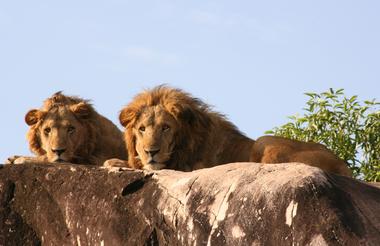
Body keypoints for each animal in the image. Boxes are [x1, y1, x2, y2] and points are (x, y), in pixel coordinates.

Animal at [105, 85, 352, 177]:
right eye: (141, 129)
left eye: (165, 128)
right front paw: (118, 161)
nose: (151, 152)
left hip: (264, 141)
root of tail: (343, 166)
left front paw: (116, 162)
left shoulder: (188, 167)